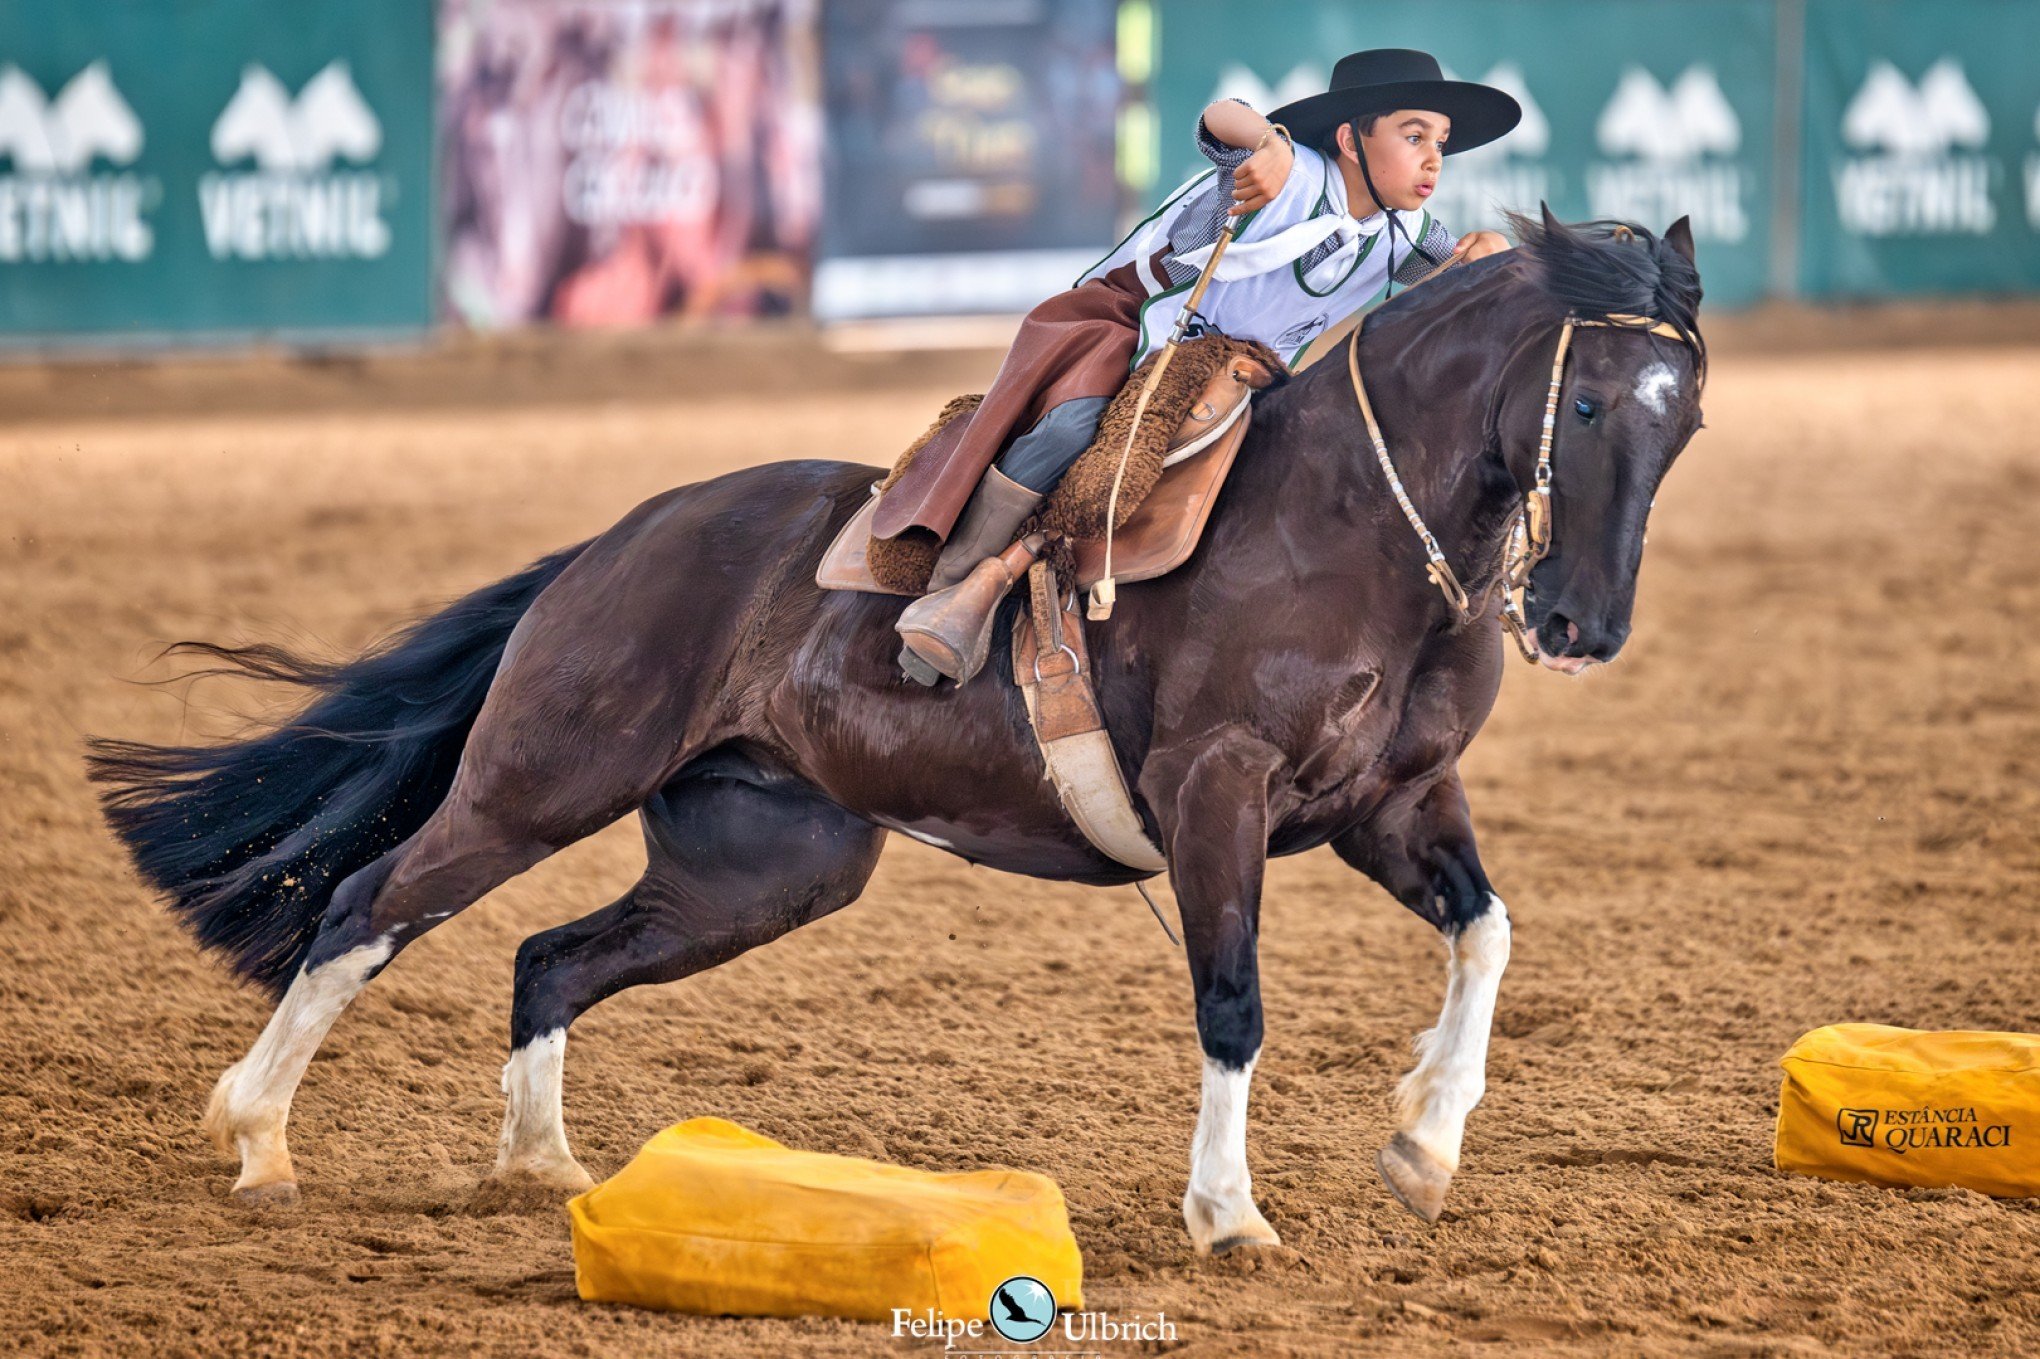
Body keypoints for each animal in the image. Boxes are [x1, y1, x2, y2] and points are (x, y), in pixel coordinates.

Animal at [87, 209, 1697, 1240]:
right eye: (1592, 406)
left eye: (1683, 422)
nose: (1580, 624)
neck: (1350, 526)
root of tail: (619, 539)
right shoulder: (1215, 794)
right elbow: (1234, 1000)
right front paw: (1228, 1211)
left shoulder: (1397, 802)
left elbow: (1486, 933)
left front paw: (1423, 1141)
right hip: (538, 782)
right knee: (370, 903)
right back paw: (257, 1137)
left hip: (762, 864)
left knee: (549, 956)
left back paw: (544, 1167)